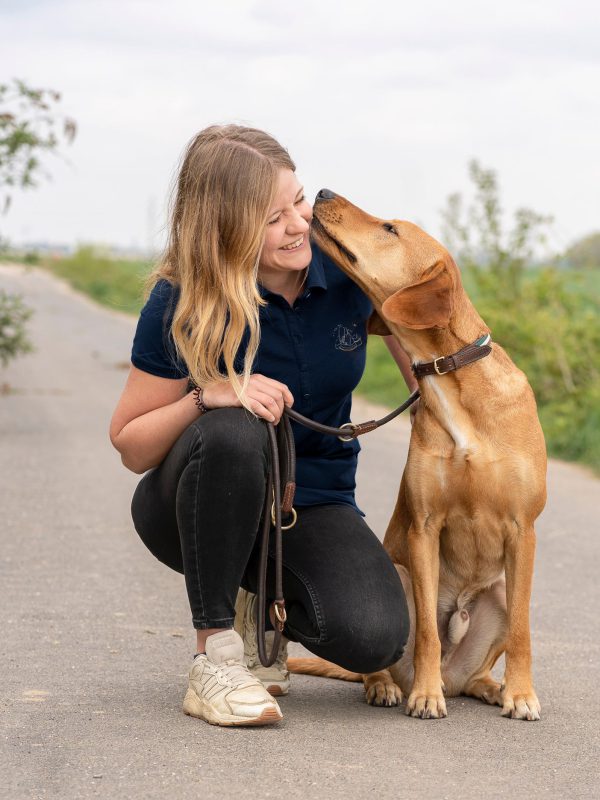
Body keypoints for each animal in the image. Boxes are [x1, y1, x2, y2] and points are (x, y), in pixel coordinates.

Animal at [288, 192, 548, 720]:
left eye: (390, 229)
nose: (321, 193)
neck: (452, 377)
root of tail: (456, 674)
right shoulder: (425, 528)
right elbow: (428, 628)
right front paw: (425, 696)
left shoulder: (522, 530)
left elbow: (522, 632)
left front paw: (521, 694)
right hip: (402, 575)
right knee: (386, 663)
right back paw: (392, 686)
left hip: (501, 589)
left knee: (478, 669)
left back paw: (490, 686)